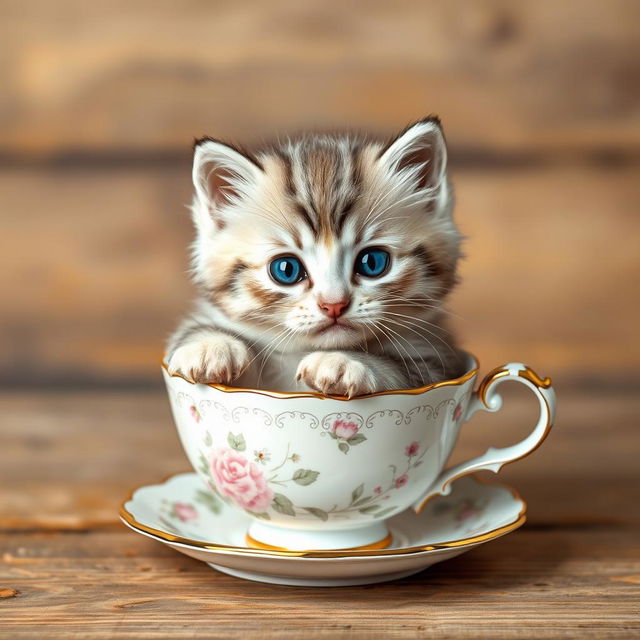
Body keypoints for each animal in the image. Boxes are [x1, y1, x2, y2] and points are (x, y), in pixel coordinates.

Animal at [165, 115, 464, 396]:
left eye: (372, 263)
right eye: (286, 269)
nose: (334, 305)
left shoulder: (439, 361)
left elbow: (400, 367)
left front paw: (344, 362)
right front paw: (210, 346)